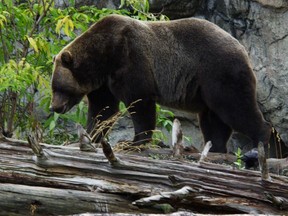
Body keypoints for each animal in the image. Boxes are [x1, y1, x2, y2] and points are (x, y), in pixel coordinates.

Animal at [50, 14, 270, 153]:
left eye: (59, 88)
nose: (54, 107)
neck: (103, 56)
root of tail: (242, 48)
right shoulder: (103, 81)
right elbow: (102, 110)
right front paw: (88, 137)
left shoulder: (130, 58)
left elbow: (140, 101)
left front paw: (133, 142)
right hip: (206, 88)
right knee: (213, 119)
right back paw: (215, 149)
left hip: (220, 72)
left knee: (236, 108)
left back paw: (261, 144)